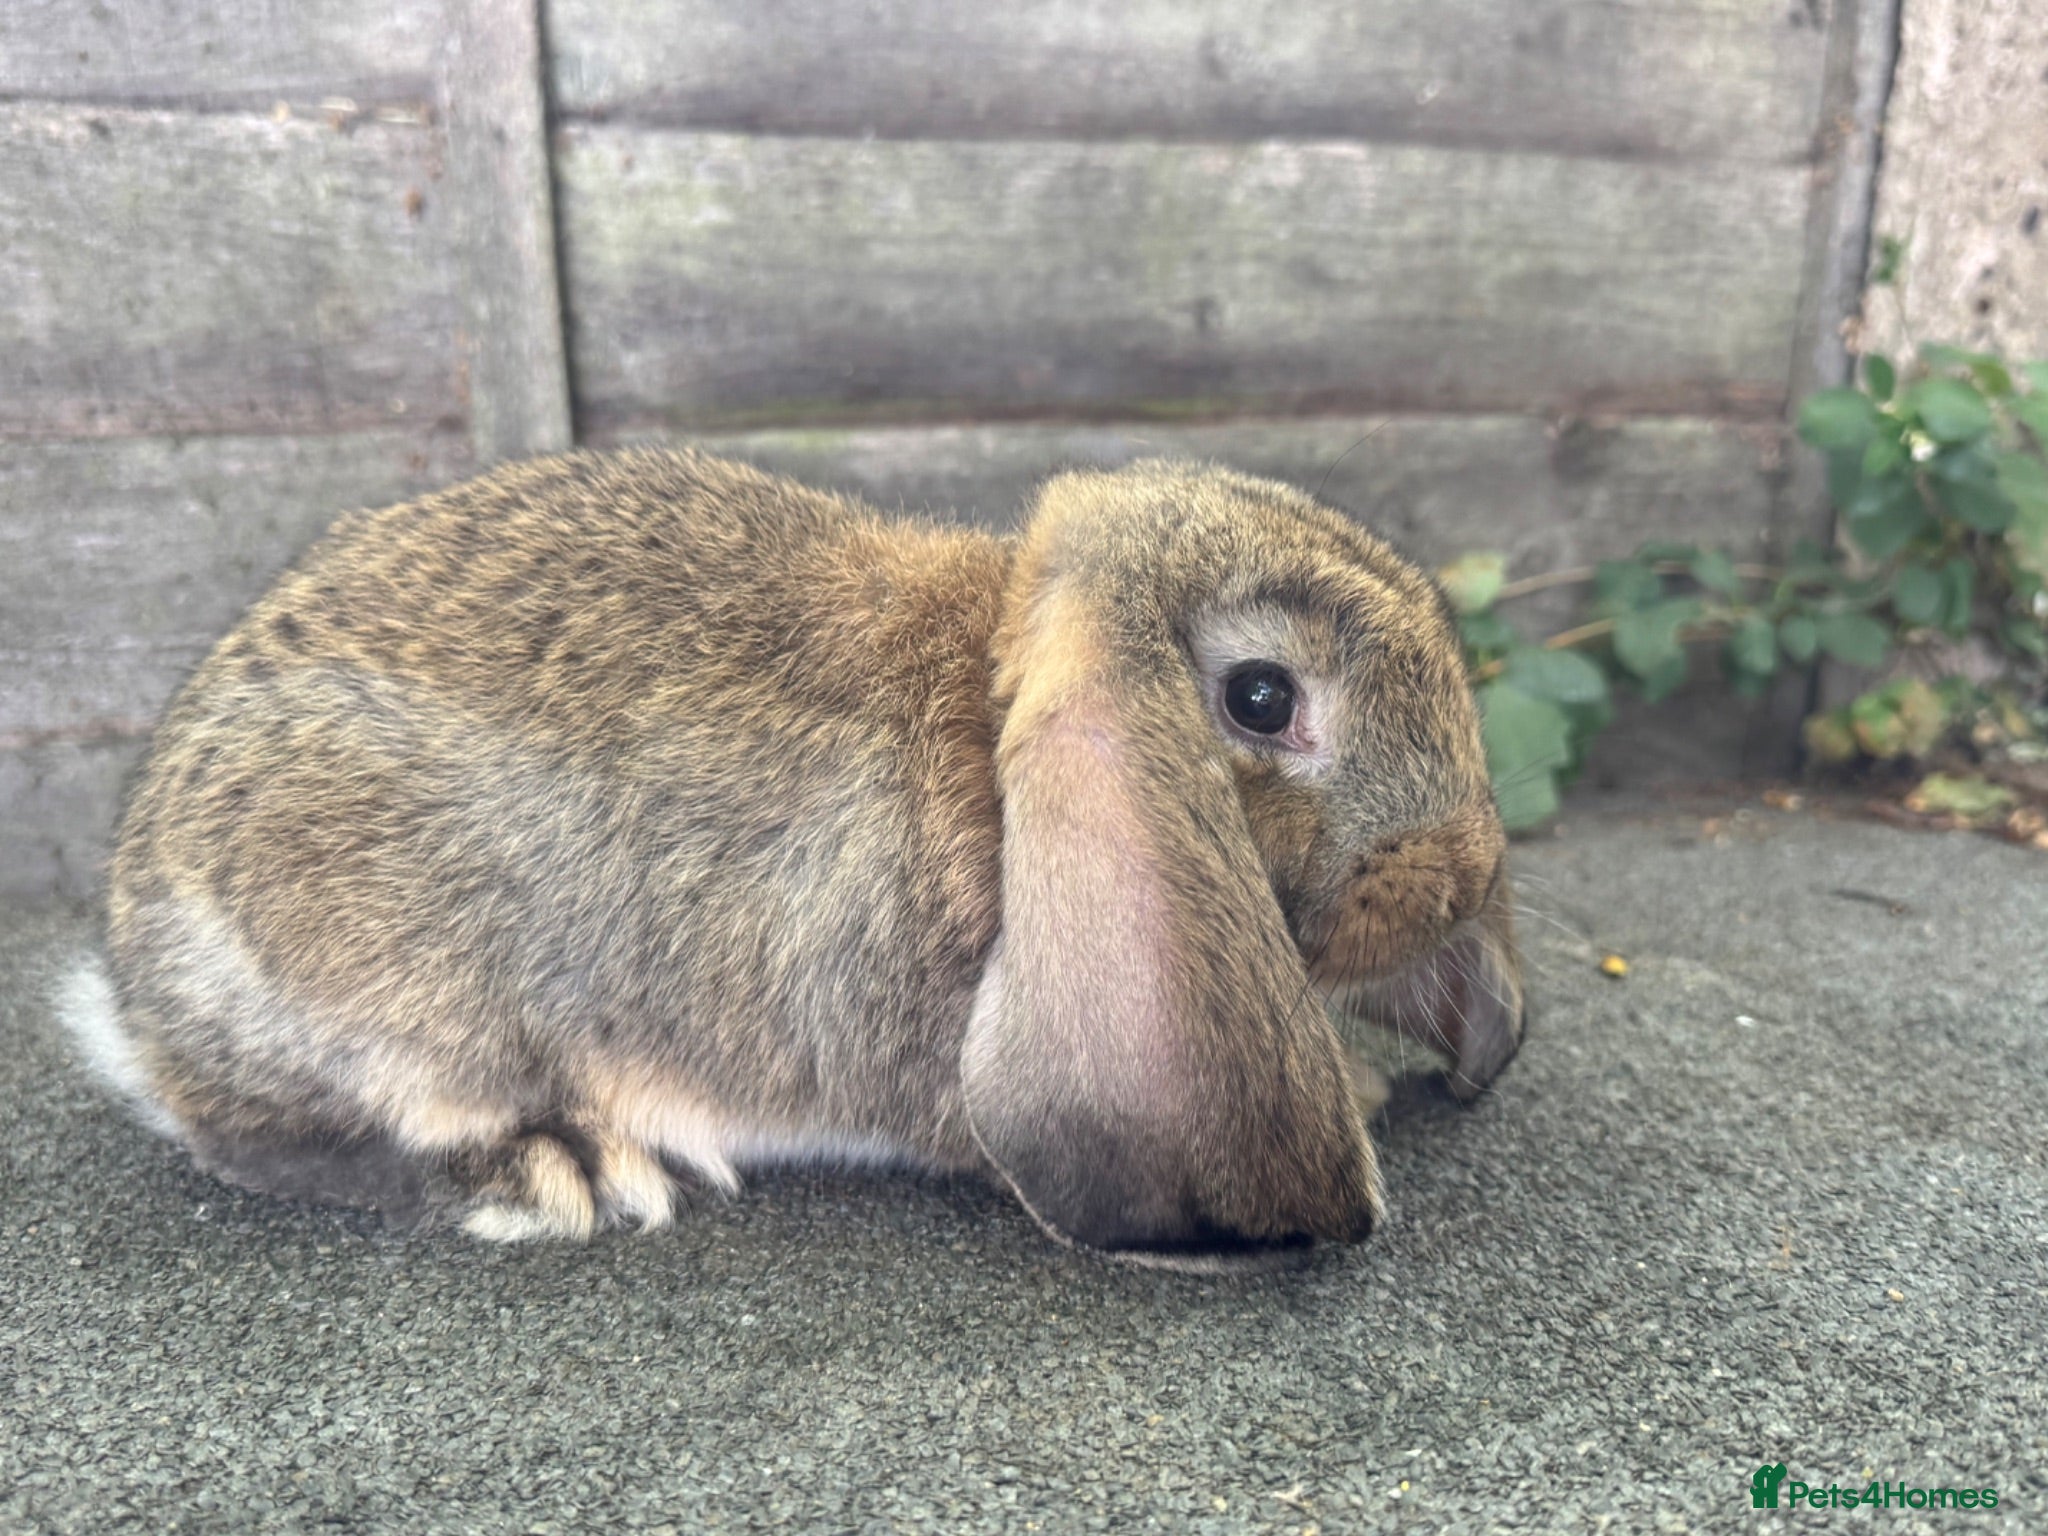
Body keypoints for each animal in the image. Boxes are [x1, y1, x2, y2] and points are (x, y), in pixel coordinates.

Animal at [68, 447, 1524, 1269]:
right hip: (386, 994)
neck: (987, 720)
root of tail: (133, 996)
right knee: (282, 1138)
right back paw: (573, 1172)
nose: (1459, 877)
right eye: (1264, 700)